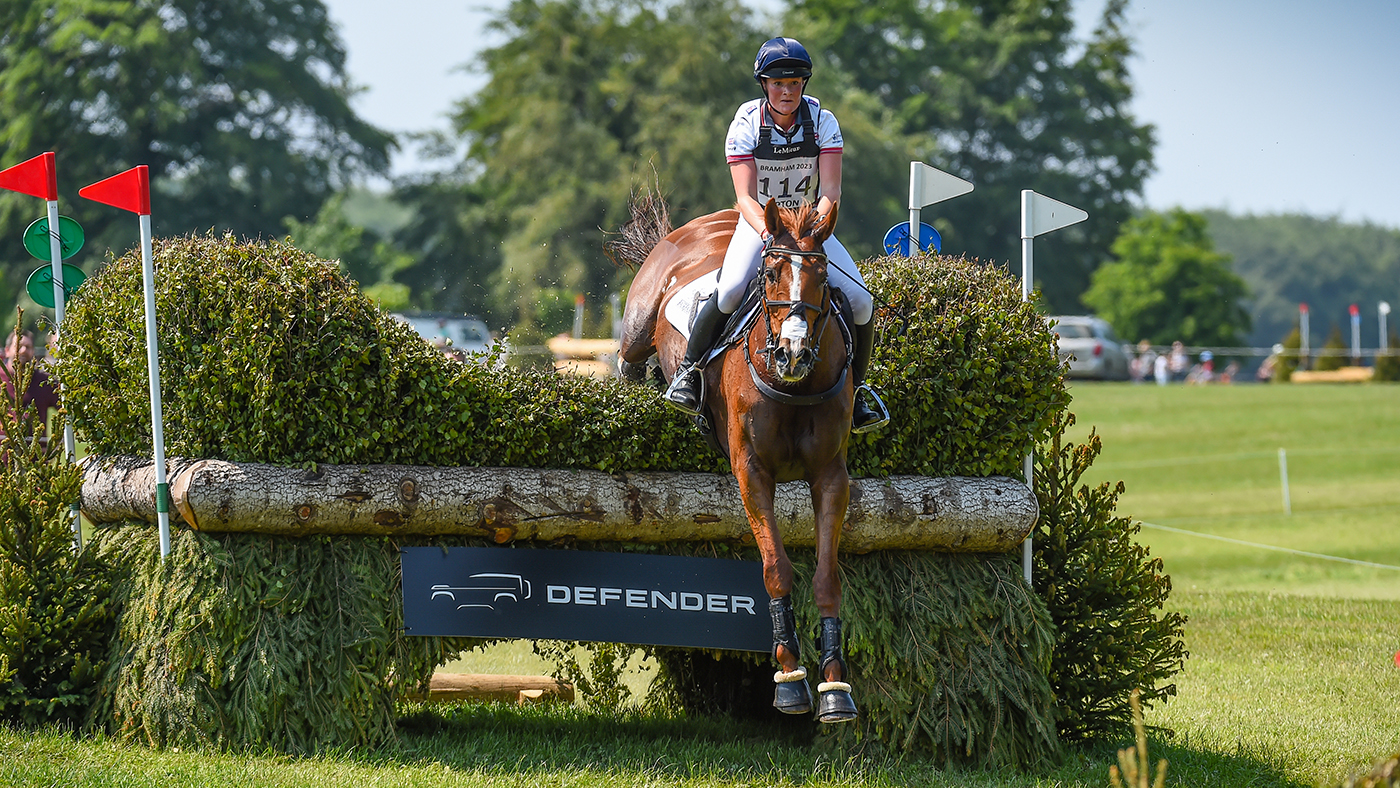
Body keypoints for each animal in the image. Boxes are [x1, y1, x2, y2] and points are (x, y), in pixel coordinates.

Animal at [616, 198, 858, 723]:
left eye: (823, 277)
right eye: (769, 275)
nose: (793, 353)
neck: (795, 387)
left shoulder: (831, 476)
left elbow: (828, 576)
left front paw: (835, 686)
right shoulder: (752, 472)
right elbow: (776, 568)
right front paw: (789, 679)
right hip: (639, 323)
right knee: (627, 356)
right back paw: (657, 381)